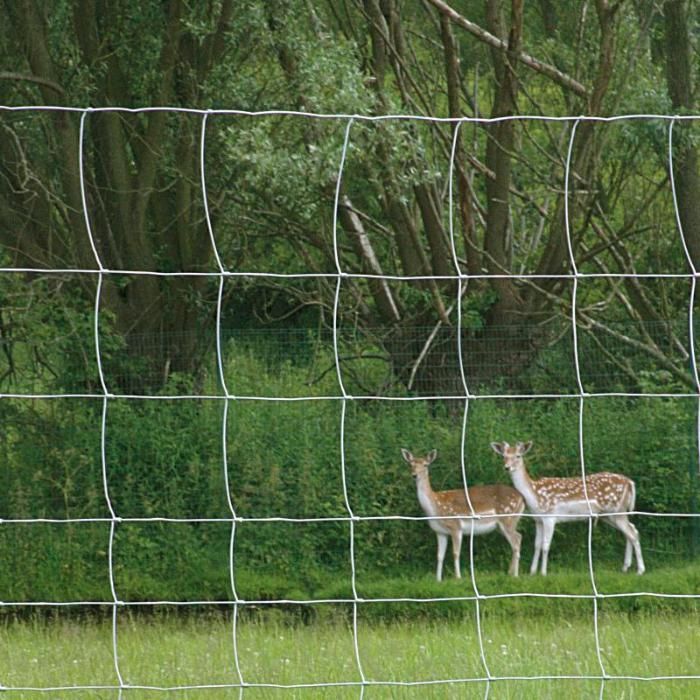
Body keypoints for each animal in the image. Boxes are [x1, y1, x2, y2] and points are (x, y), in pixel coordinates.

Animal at [402, 448, 524, 580]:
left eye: (425, 465)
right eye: (410, 464)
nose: (414, 475)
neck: (436, 507)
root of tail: (521, 498)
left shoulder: (456, 526)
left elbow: (455, 553)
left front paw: (458, 577)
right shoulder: (440, 531)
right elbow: (439, 556)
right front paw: (438, 580)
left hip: (508, 518)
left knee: (516, 541)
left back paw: (516, 575)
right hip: (502, 525)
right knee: (518, 538)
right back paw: (510, 572)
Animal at [486, 440, 644, 576]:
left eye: (518, 456)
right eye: (504, 456)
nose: (507, 467)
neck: (535, 495)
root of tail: (630, 483)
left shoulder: (550, 517)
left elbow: (545, 546)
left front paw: (543, 573)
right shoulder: (538, 520)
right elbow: (536, 545)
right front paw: (532, 572)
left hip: (617, 510)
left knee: (633, 533)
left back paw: (640, 570)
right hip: (610, 515)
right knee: (631, 530)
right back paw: (625, 567)